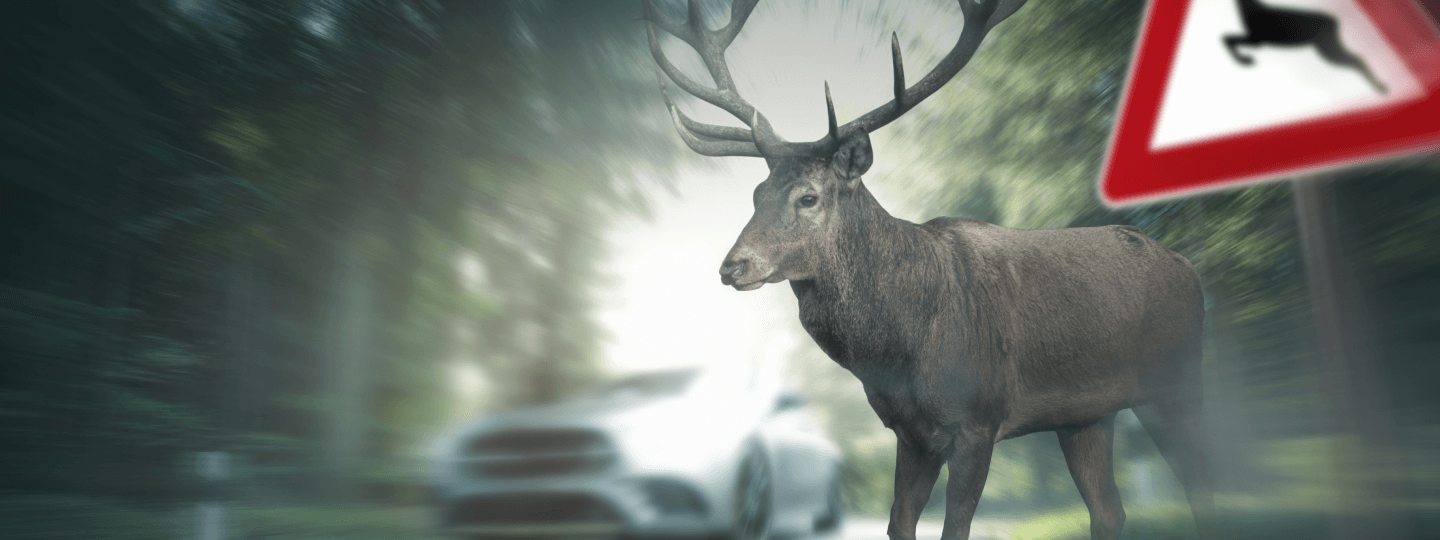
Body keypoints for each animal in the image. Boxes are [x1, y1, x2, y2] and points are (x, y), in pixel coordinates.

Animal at [641, 1, 1214, 539]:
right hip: (1087, 416)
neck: (901, 350)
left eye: (808, 197)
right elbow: (900, 523)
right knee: (1110, 511)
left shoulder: (979, 419)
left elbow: (954, 526)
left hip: (1177, 382)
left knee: (1205, 485)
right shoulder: (909, 432)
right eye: (757, 193)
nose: (732, 265)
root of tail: (1189, 268)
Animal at [1224, 0, 1387, 93]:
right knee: (1356, 58)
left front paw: (1245, 60)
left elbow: (1227, 39)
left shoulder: (1257, 41)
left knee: (1356, 59)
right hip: (1327, 47)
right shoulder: (1256, 41)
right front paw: (1245, 60)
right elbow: (1227, 39)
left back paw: (1381, 88)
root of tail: (1335, 21)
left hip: (1327, 48)